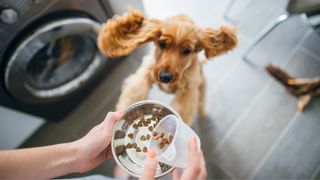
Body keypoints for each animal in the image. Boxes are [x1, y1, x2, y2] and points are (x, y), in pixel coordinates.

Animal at [97, 9, 238, 125]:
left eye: (187, 51)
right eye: (162, 44)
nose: (165, 77)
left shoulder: (187, 91)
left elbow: (181, 110)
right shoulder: (145, 74)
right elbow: (134, 94)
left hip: (201, 85)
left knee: (201, 99)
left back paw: (201, 111)